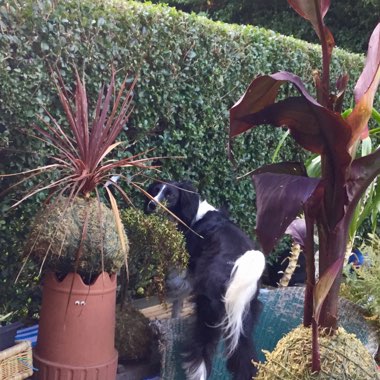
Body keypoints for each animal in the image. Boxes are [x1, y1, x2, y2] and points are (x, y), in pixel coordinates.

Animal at [144, 181, 266, 380]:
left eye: (170, 196)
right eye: (155, 191)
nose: (152, 205)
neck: (194, 216)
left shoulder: (185, 268)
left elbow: (177, 294)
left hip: (207, 312)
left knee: (201, 354)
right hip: (242, 321)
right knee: (245, 359)